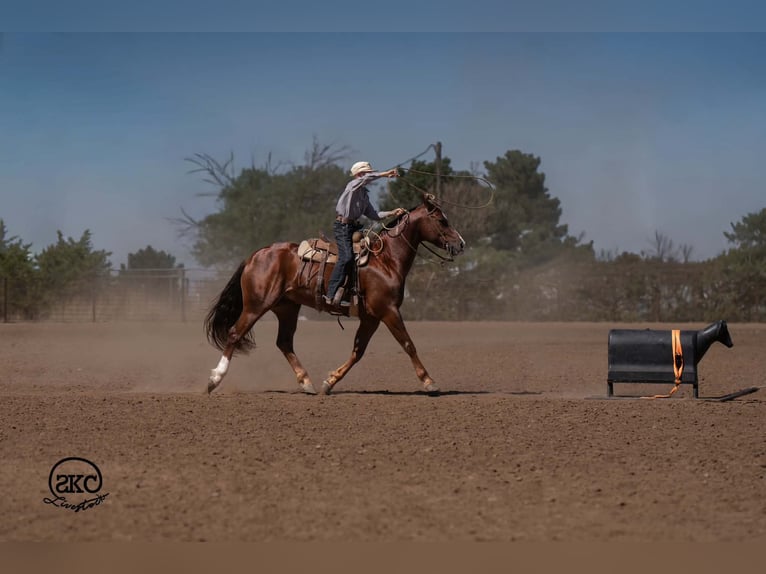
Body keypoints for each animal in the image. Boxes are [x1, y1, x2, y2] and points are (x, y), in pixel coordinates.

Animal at [204, 193, 465, 396]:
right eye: (442, 220)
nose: (461, 244)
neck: (386, 260)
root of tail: (255, 255)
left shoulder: (371, 318)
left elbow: (358, 351)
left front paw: (329, 382)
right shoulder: (388, 311)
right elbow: (408, 344)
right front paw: (429, 382)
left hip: (287, 307)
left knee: (284, 342)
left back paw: (306, 382)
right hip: (256, 305)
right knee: (235, 334)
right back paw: (214, 380)